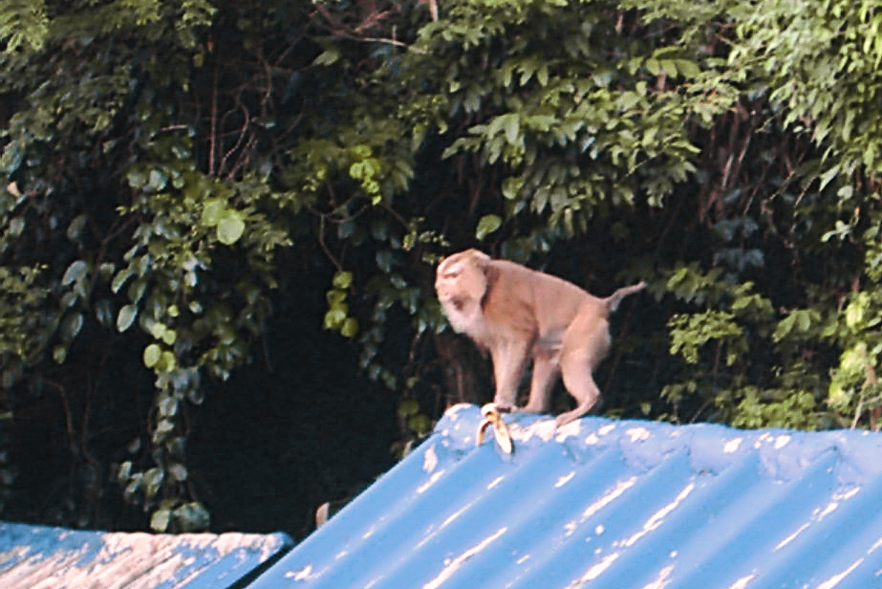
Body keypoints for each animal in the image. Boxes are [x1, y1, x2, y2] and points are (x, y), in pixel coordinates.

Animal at [434, 249, 648, 428]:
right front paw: (503, 403)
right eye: (443, 278)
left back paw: (587, 402)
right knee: (547, 358)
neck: (486, 287)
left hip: (586, 329)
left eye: (453, 276)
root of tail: (601, 304)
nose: (443, 291)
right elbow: (500, 349)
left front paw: (502, 402)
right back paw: (535, 408)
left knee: (571, 361)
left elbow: (522, 337)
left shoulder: (503, 302)